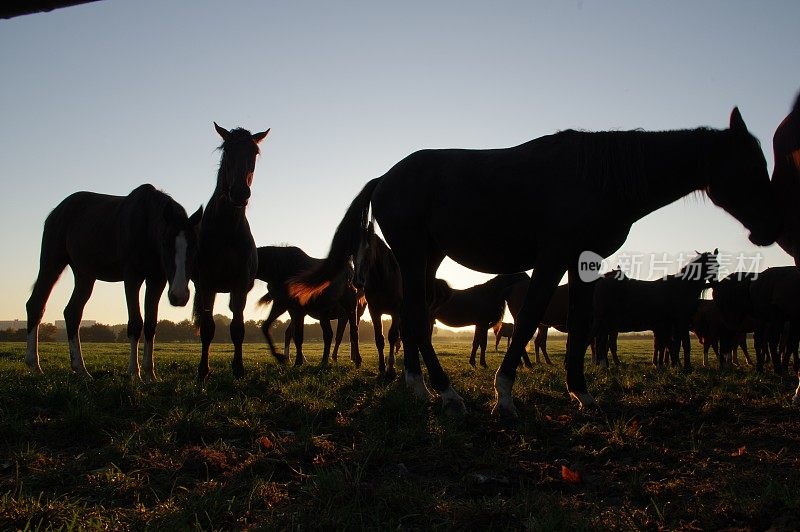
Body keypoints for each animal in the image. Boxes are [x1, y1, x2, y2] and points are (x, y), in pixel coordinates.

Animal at [27, 185, 203, 380]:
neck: (145, 225)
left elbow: (151, 325)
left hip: (84, 275)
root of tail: (57, 211)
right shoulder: (132, 277)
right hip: (52, 264)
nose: (179, 296)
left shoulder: (156, 280)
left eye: (194, 245)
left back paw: (81, 369)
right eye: (165, 244)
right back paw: (34, 364)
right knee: (36, 304)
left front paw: (150, 374)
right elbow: (135, 323)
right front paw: (134, 373)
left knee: (72, 313)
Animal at [193, 123, 268, 382]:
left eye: (254, 152)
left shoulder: (239, 285)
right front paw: (202, 371)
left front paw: (239, 369)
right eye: (226, 151)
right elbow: (208, 328)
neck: (226, 229)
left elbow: (238, 328)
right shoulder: (207, 283)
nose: (240, 193)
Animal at [592, 250, 720, 370]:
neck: (681, 287)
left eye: (717, 265)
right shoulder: (680, 322)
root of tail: (600, 283)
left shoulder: (668, 326)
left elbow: (670, 345)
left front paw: (671, 365)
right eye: (709, 265)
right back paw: (603, 365)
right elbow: (683, 344)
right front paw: (685, 367)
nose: (716, 285)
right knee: (601, 340)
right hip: (607, 322)